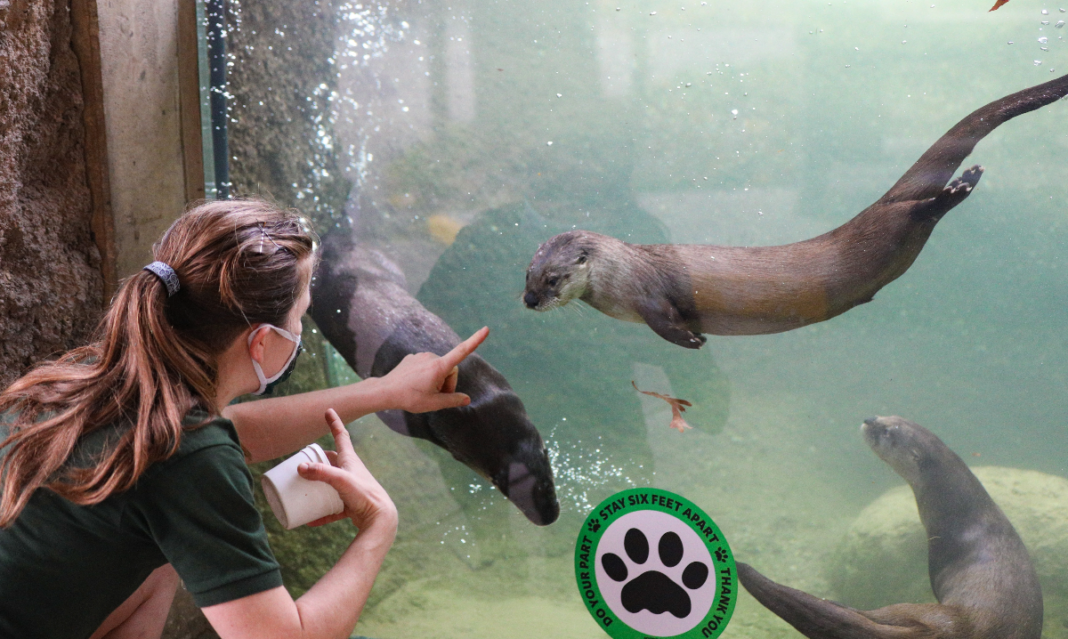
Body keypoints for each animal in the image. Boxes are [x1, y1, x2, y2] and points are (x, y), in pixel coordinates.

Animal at [524, 73, 1068, 348]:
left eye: (552, 279)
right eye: (526, 275)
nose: (528, 302)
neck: (621, 277)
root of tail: (880, 202)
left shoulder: (650, 295)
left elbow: (669, 324)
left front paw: (695, 341)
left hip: (888, 226)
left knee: (920, 210)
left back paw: (962, 184)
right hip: (898, 238)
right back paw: (966, 181)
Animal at [738, 416, 1042, 639]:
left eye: (887, 432)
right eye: (890, 416)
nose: (869, 419)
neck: (962, 513)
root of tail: (958, 628)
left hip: (914, 609)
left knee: (879, 614)